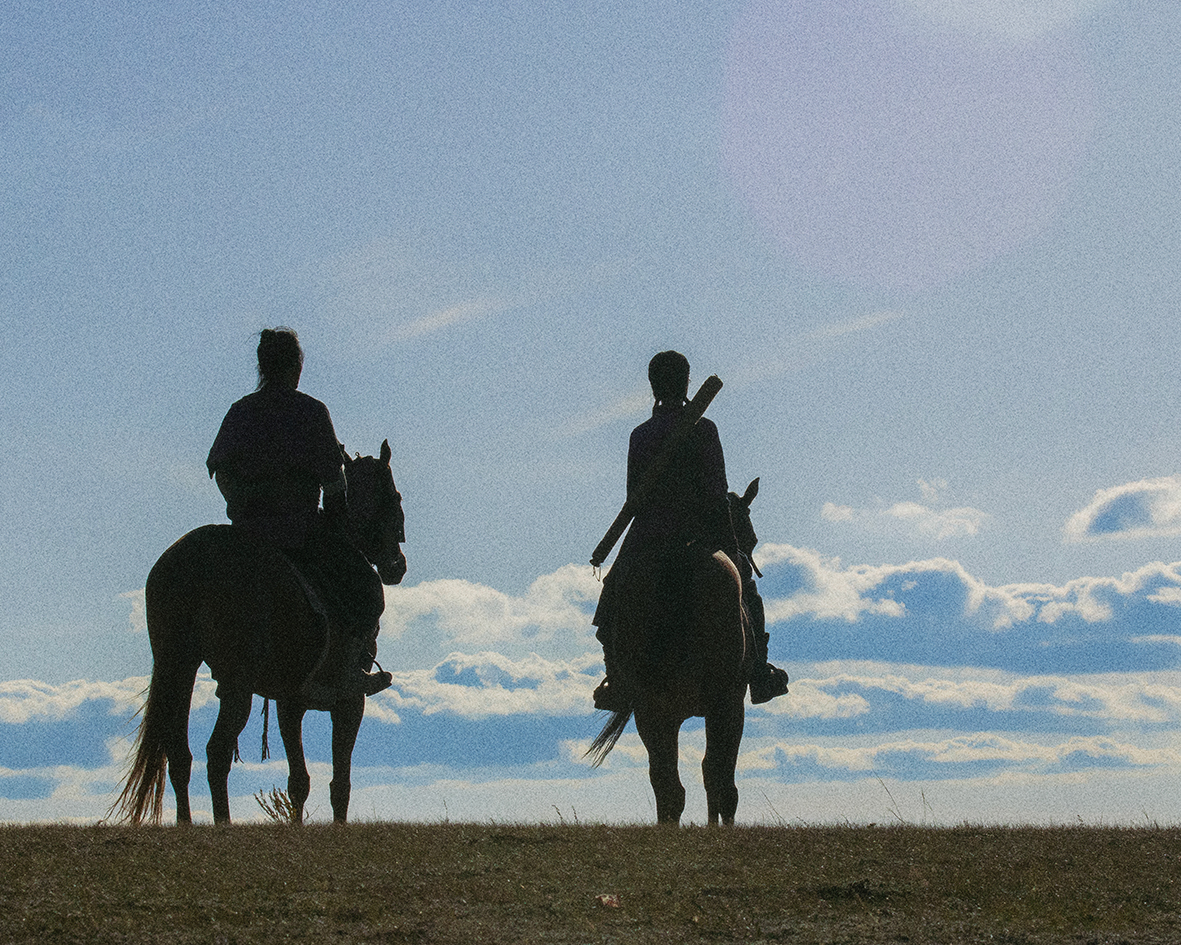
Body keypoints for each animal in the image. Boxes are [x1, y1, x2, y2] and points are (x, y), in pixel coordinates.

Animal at [111, 441, 406, 817]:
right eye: (395, 497)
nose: (397, 566)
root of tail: (194, 559)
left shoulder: (290, 701)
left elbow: (299, 782)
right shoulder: (351, 699)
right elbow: (340, 783)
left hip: (180, 667)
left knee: (179, 753)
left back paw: (186, 822)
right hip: (238, 682)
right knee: (217, 752)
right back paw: (222, 821)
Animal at [585, 477, 760, 822]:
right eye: (750, 537)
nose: (748, 565)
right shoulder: (726, 704)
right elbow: (714, 775)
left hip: (657, 708)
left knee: (672, 787)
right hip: (713, 704)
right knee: (703, 783)